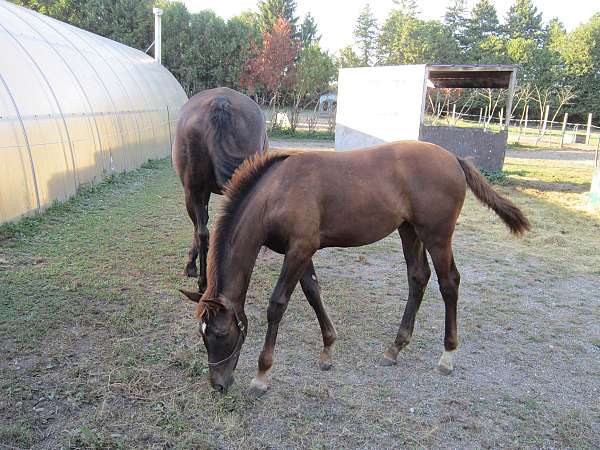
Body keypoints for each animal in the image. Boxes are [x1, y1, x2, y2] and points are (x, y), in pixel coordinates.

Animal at [180, 142, 532, 398]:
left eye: (221, 333)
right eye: (202, 335)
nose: (219, 385)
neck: (277, 192)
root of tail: (453, 158)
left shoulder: (299, 249)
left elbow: (277, 304)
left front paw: (261, 375)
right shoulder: (301, 250)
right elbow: (313, 291)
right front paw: (328, 349)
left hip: (437, 235)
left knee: (449, 283)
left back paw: (447, 356)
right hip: (409, 230)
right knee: (418, 278)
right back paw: (395, 348)